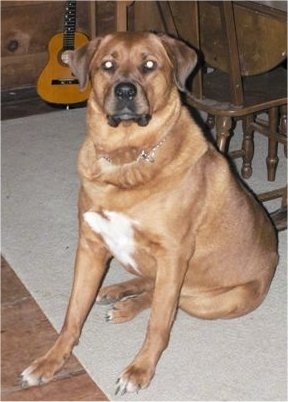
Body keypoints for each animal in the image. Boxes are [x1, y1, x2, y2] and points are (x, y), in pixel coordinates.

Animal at [21, 33, 278, 394]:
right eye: (108, 64)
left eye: (150, 65)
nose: (125, 91)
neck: (126, 158)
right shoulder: (90, 246)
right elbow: (73, 313)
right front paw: (51, 360)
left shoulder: (173, 253)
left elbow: (158, 322)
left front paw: (139, 370)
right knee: (152, 284)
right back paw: (117, 292)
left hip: (214, 300)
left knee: (171, 300)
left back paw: (127, 305)